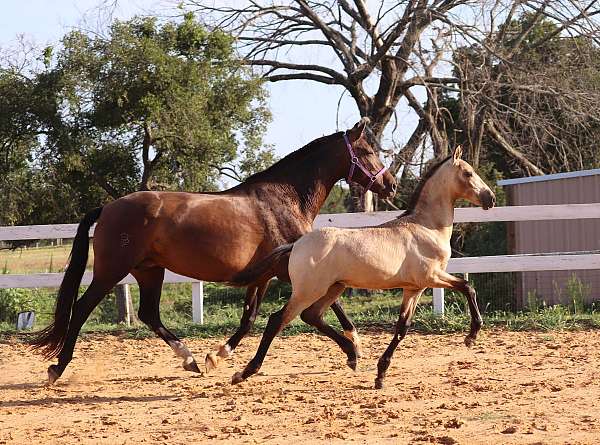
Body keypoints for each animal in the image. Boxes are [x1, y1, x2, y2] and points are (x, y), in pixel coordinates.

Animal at [32, 119, 398, 384]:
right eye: (367, 151)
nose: (391, 184)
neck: (284, 199)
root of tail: (108, 207)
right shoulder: (296, 269)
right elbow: (328, 304)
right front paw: (354, 346)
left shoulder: (265, 275)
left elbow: (249, 319)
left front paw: (218, 355)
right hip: (113, 270)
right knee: (82, 309)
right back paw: (57, 368)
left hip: (149, 270)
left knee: (149, 314)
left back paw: (190, 359)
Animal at [227, 147, 494, 388]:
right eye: (468, 173)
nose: (490, 199)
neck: (426, 228)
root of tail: (296, 244)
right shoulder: (432, 277)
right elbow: (468, 287)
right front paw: (471, 336)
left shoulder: (414, 289)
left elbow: (402, 328)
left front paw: (380, 375)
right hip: (307, 291)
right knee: (277, 320)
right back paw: (244, 372)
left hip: (334, 288)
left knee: (311, 315)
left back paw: (352, 356)